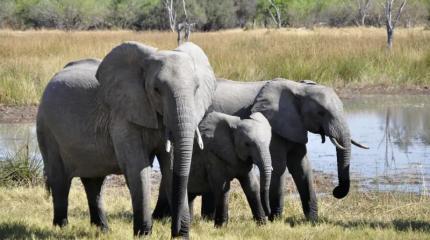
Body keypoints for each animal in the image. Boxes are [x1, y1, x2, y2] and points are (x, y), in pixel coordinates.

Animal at [36, 40, 217, 237]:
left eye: (197, 89)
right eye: (156, 90)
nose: (177, 231)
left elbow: (170, 166)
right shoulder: (123, 115)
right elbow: (137, 167)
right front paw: (143, 235)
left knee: (94, 182)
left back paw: (103, 229)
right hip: (47, 129)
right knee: (60, 180)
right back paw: (61, 227)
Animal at [153, 78, 368, 222]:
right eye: (321, 112)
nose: (336, 191)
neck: (299, 88)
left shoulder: (294, 126)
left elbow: (302, 167)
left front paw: (312, 221)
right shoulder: (275, 125)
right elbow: (279, 167)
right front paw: (276, 219)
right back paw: (163, 218)